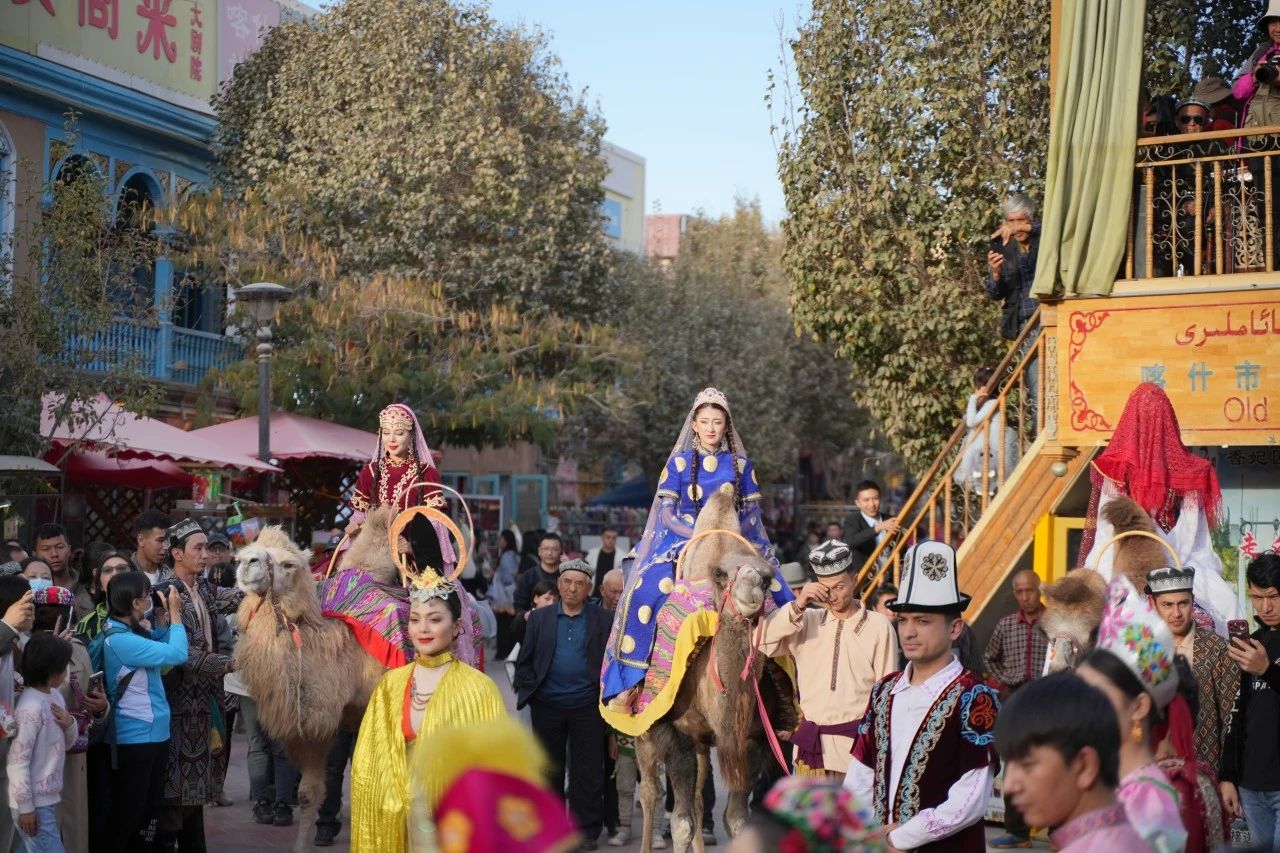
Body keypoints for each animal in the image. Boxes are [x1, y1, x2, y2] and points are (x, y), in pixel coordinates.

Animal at [234, 507, 399, 845]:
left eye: (288, 564)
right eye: (245, 552)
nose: (246, 563)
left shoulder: (322, 724)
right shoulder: (309, 729)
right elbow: (308, 794)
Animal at [634, 484, 793, 850]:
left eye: (767, 577)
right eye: (721, 575)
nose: (750, 588)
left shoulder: (751, 739)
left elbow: (735, 819)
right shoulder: (675, 733)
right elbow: (680, 823)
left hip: (704, 742)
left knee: (697, 797)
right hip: (643, 731)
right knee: (649, 792)